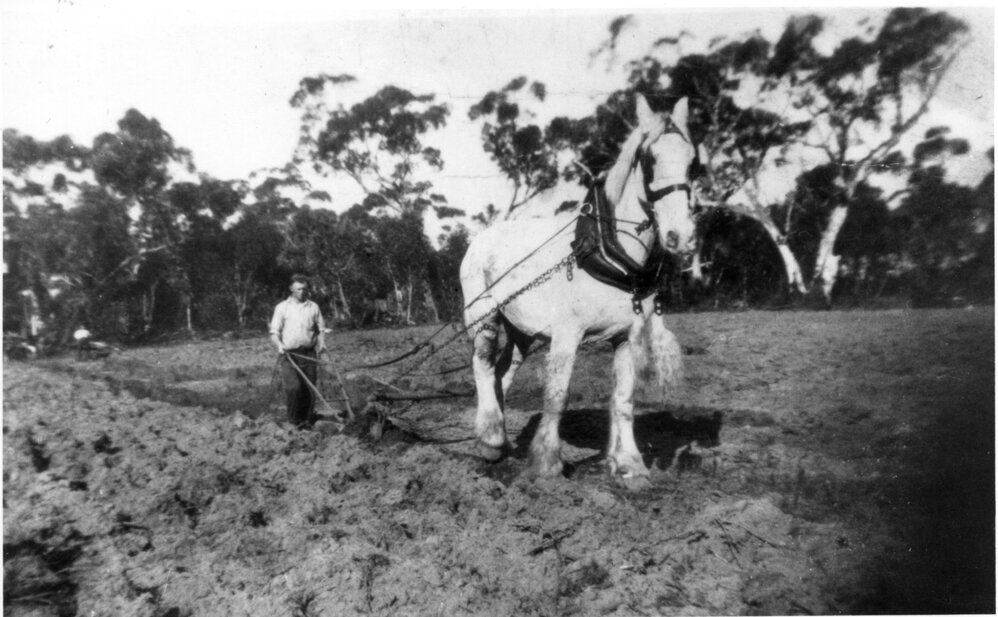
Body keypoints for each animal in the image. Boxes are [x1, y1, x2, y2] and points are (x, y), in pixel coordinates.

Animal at [459, 95, 700, 489]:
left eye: (693, 160)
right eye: (649, 159)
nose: (681, 237)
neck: (606, 250)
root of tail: (481, 238)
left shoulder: (627, 337)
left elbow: (624, 399)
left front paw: (629, 465)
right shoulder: (567, 334)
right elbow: (558, 396)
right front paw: (546, 464)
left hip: (522, 331)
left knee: (503, 371)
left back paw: (496, 439)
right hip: (483, 316)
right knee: (482, 365)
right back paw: (492, 441)